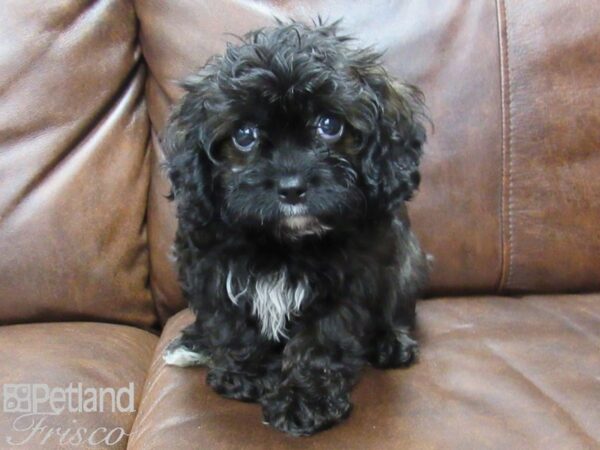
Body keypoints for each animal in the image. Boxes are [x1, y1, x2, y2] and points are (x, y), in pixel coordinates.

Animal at [162, 19, 428, 434]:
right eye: (244, 135)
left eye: (329, 125)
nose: (291, 187)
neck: (285, 243)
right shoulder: (208, 264)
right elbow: (229, 322)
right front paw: (245, 375)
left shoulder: (349, 280)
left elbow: (322, 340)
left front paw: (304, 399)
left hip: (407, 263)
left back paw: (391, 343)